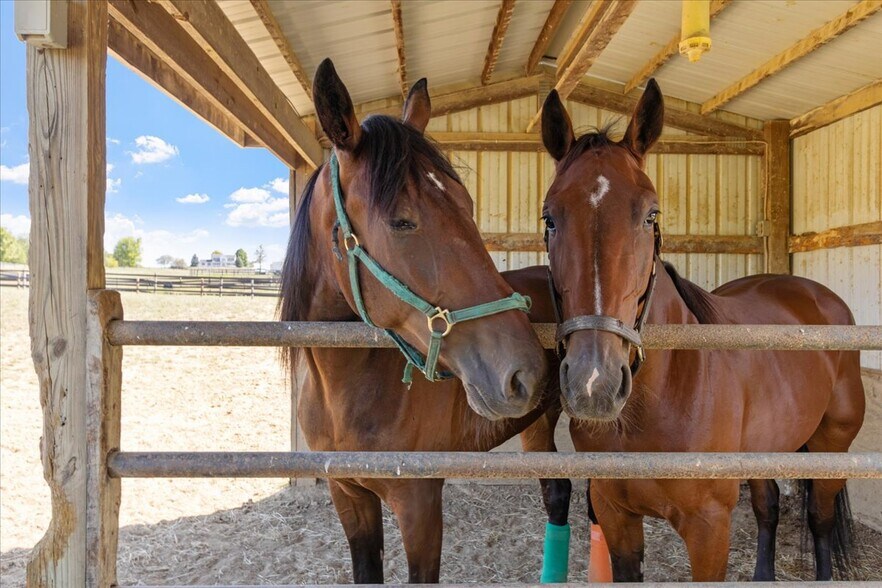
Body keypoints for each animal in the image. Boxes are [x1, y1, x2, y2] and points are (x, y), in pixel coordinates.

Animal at [279, 59, 569, 583]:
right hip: (537, 425)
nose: (524, 371)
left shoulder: (420, 502)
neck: (348, 391)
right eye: (401, 221)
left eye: (468, 206)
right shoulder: (348, 496)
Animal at [538, 80, 866, 582]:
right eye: (549, 218)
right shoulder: (614, 515)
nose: (594, 384)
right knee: (769, 507)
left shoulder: (708, 529)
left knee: (820, 519)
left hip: (832, 447)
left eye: (651, 215)